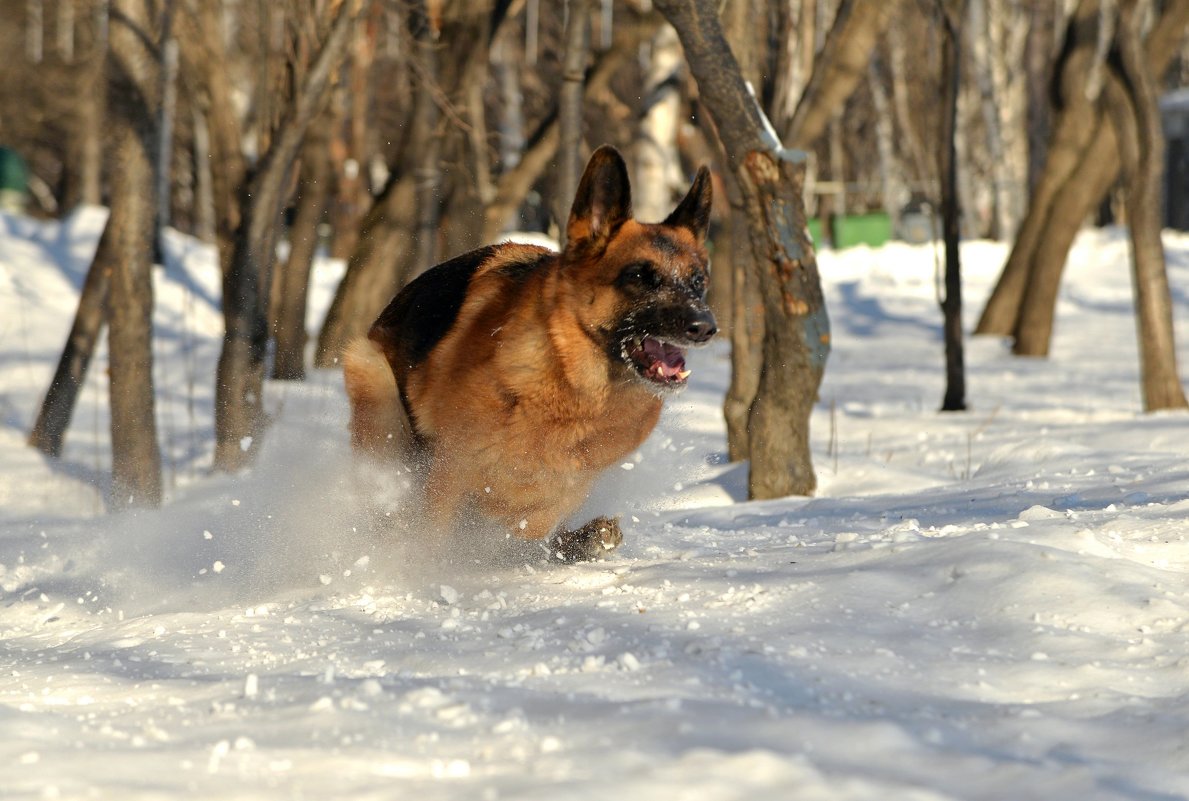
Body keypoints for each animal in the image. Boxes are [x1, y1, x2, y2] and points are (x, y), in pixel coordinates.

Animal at [344, 144, 713, 556]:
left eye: (698, 281)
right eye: (639, 277)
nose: (705, 327)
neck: (572, 387)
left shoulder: (560, 492)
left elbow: (529, 524)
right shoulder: (451, 469)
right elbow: (435, 532)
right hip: (374, 386)